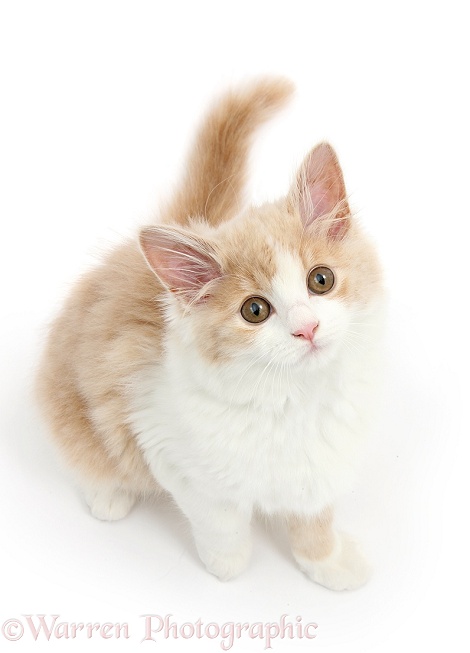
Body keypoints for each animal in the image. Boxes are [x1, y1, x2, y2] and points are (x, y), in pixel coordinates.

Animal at [38, 79, 386, 588]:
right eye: (255, 310)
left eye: (321, 280)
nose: (307, 328)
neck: (294, 399)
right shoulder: (169, 450)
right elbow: (220, 522)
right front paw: (228, 566)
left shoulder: (319, 467)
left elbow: (313, 521)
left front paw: (328, 562)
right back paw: (109, 496)